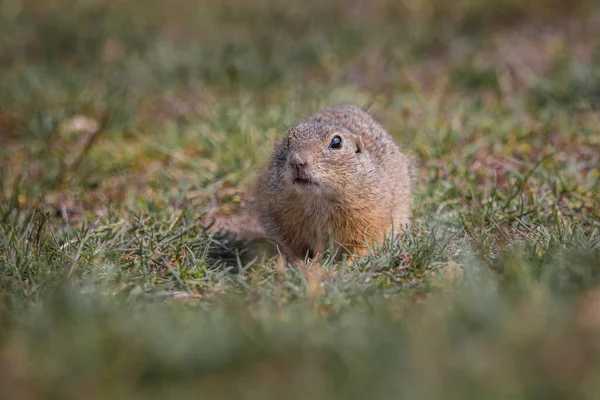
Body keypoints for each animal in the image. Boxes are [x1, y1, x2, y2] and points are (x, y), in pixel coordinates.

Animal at [255, 104, 414, 262]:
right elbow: (293, 248)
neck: (319, 201)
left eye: (336, 142)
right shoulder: (283, 221)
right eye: (288, 142)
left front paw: (347, 264)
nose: (297, 161)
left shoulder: (372, 217)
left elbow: (364, 244)